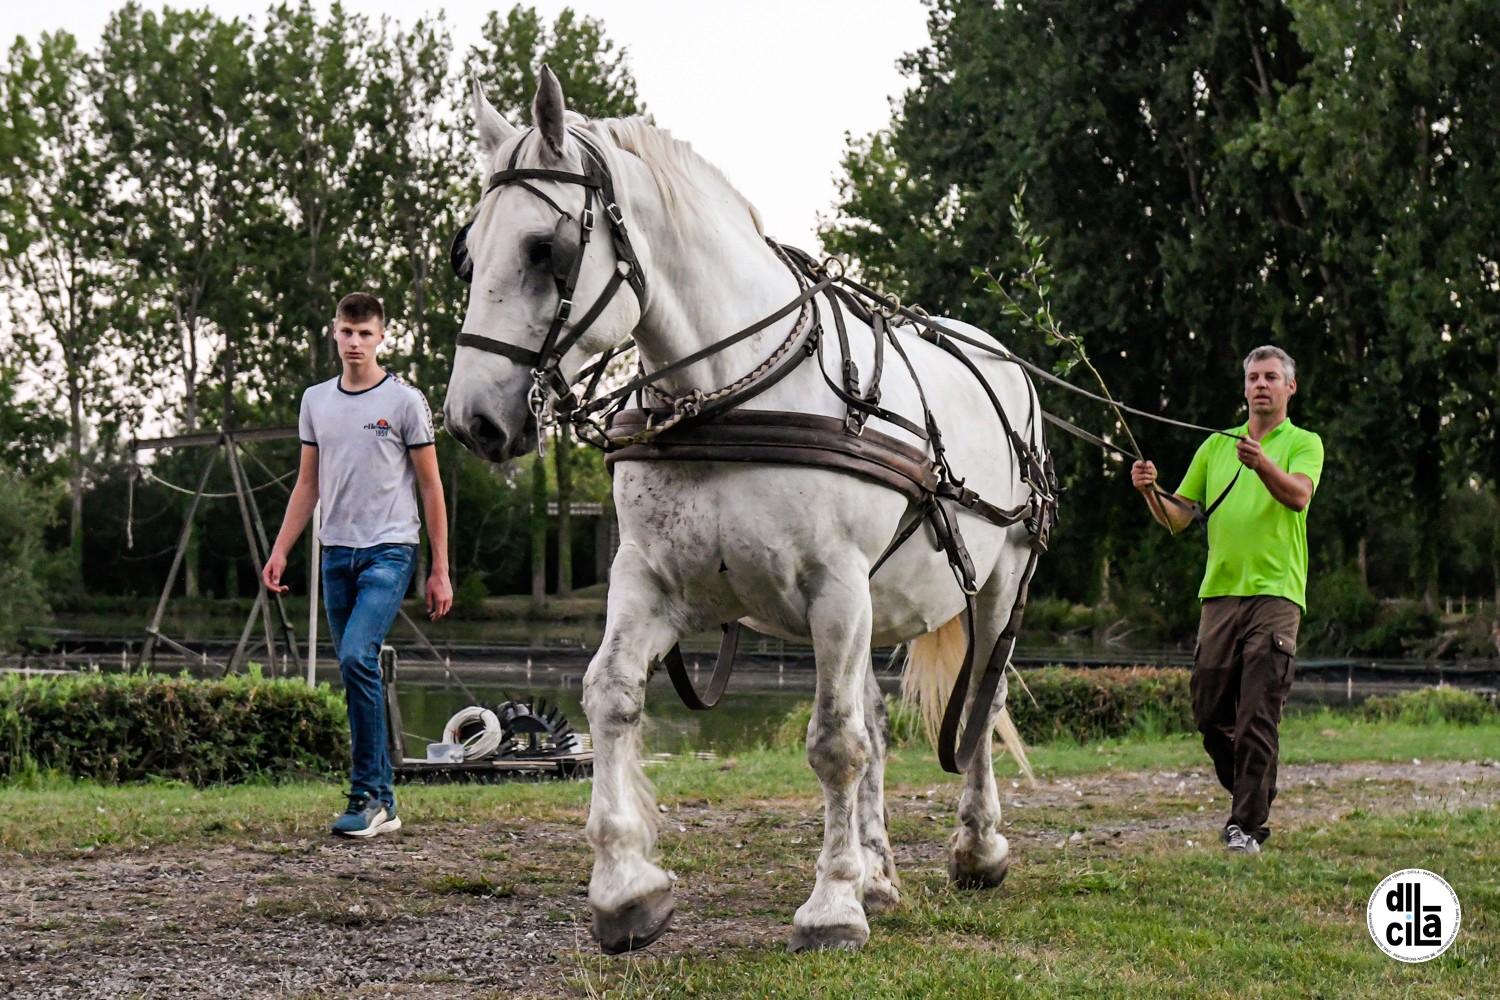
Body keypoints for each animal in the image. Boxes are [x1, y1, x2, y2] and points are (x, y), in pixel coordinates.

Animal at [441, 70, 1056, 953]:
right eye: (467, 251)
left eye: (543, 249)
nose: (473, 421)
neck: (732, 388)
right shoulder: (650, 580)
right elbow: (611, 695)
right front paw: (626, 887)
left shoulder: (836, 587)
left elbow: (835, 743)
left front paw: (831, 905)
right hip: (879, 603)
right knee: (877, 718)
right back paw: (879, 872)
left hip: (997, 586)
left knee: (978, 704)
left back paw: (977, 847)